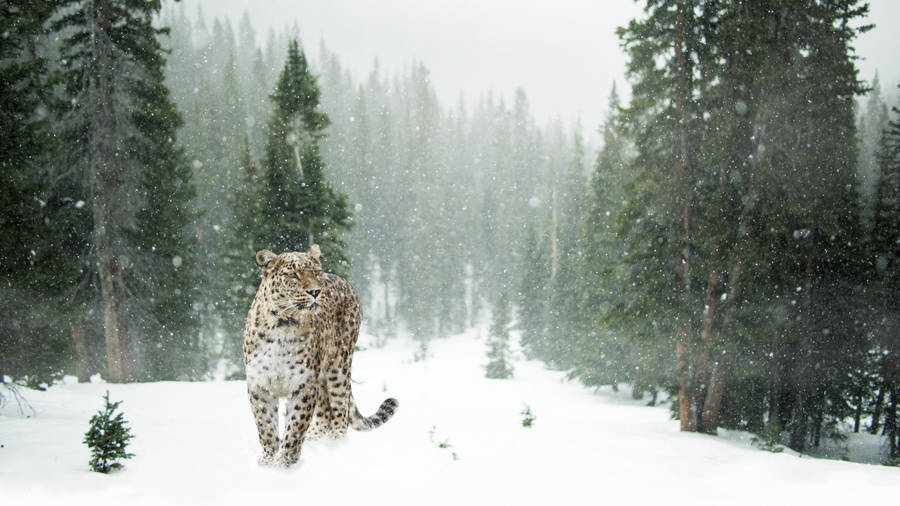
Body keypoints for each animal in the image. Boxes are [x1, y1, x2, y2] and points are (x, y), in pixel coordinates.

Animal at [242, 244, 398, 467]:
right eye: (293, 275)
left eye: (315, 273)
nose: (316, 291)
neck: (282, 325)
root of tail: (343, 280)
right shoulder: (259, 385)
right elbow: (266, 426)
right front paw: (267, 461)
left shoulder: (304, 384)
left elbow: (295, 427)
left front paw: (285, 463)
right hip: (323, 376)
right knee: (325, 410)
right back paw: (315, 438)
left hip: (339, 365)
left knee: (340, 409)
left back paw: (335, 444)